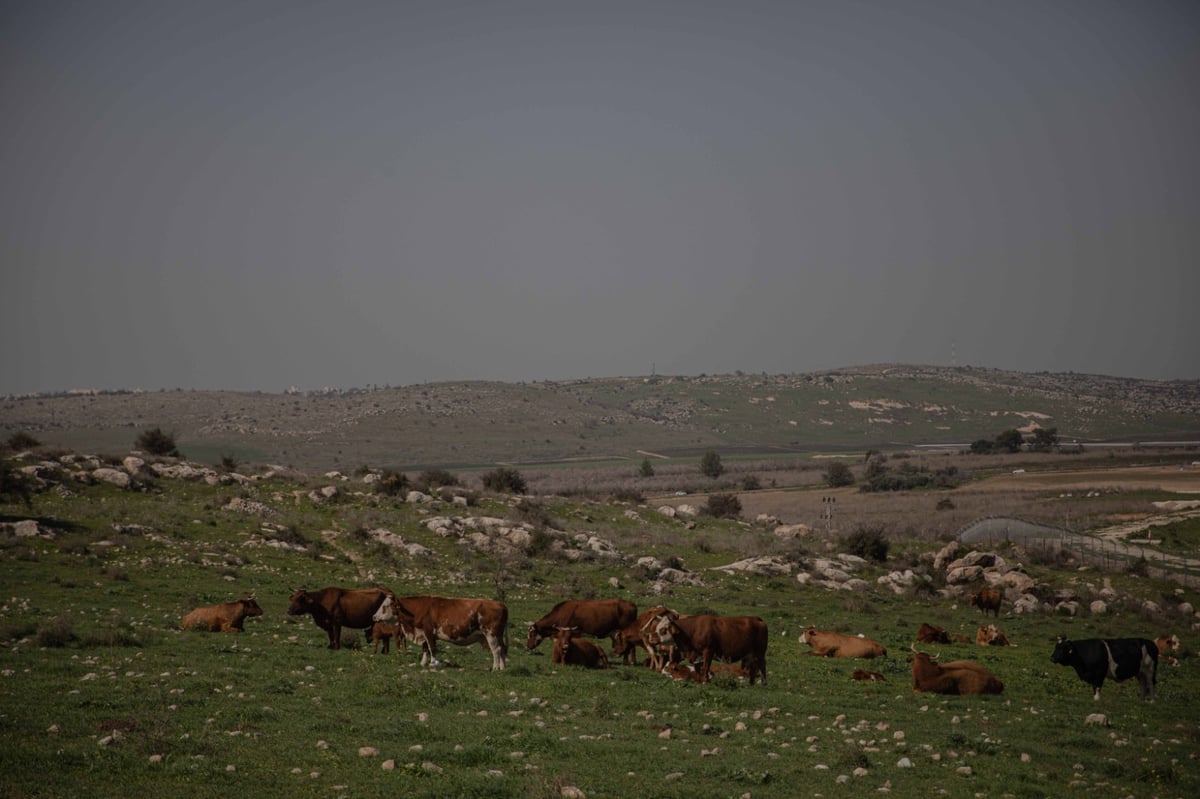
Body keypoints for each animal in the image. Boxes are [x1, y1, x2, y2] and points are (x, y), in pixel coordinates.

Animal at [372, 590, 508, 667]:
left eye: (385, 605)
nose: (374, 616)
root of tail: (500, 603)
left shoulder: (428, 631)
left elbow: (432, 648)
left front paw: (433, 663)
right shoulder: (423, 632)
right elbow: (425, 648)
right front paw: (423, 663)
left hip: (491, 634)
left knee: (496, 650)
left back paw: (495, 668)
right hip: (499, 635)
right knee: (502, 649)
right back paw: (502, 668)